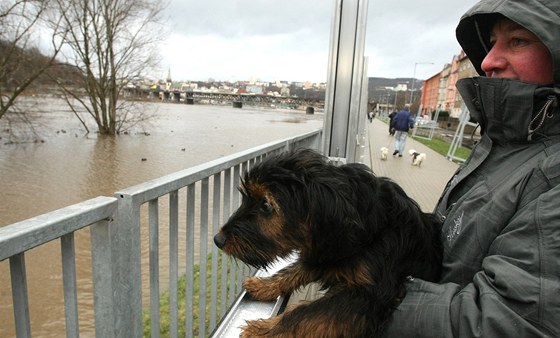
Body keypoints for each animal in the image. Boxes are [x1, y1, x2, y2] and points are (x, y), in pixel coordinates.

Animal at [213, 149, 442, 336]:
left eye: (266, 205)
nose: (218, 240)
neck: (371, 227)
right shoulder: (326, 252)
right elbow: (293, 271)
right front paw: (265, 285)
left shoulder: (370, 294)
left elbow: (306, 313)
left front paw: (263, 330)